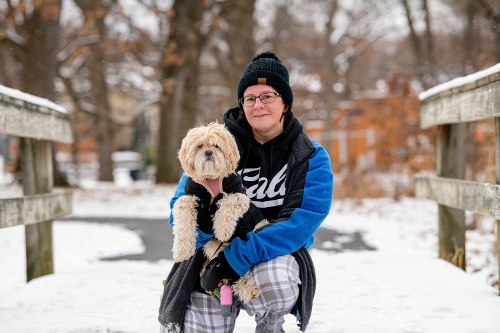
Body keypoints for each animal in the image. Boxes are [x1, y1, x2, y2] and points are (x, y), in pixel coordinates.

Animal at [172, 122, 268, 304]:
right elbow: (182, 216)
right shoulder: (189, 196)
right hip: (213, 249)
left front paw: (223, 229)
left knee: (238, 268)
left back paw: (248, 289)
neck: (211, 180)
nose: (209, 152)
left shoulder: (238, 194)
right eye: (200, 146)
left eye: (216, 146)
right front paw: (182, 250)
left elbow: (228, 203)